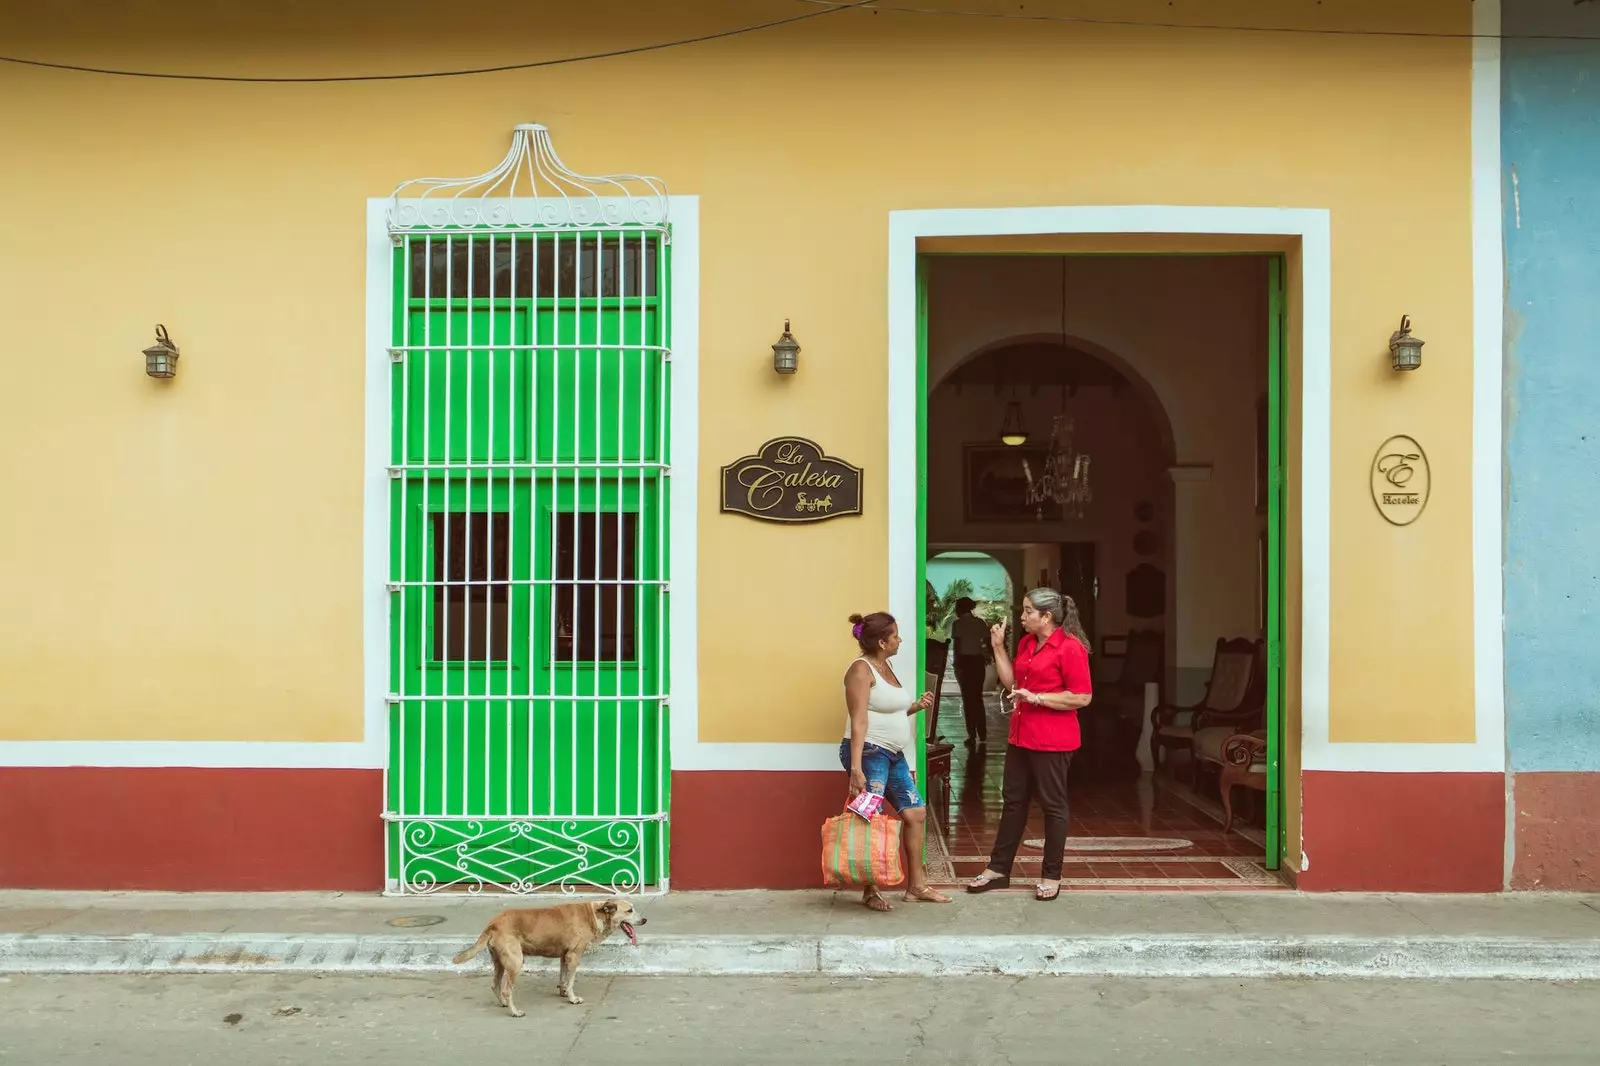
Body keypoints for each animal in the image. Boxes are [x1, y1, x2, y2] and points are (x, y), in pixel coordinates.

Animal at [451, 896, 643, 1011]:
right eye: (629, 910)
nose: (645, 919)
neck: (596, 914)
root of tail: (493, 924)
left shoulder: (564, 956)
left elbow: (563, 978)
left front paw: (563, 992)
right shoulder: (574, 956)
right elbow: (571, 981)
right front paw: (572, 998)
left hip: (500, 962)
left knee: (495, 984)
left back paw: (504, 1004)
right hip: (515, 962)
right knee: (506, 989)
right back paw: (515, 1011)